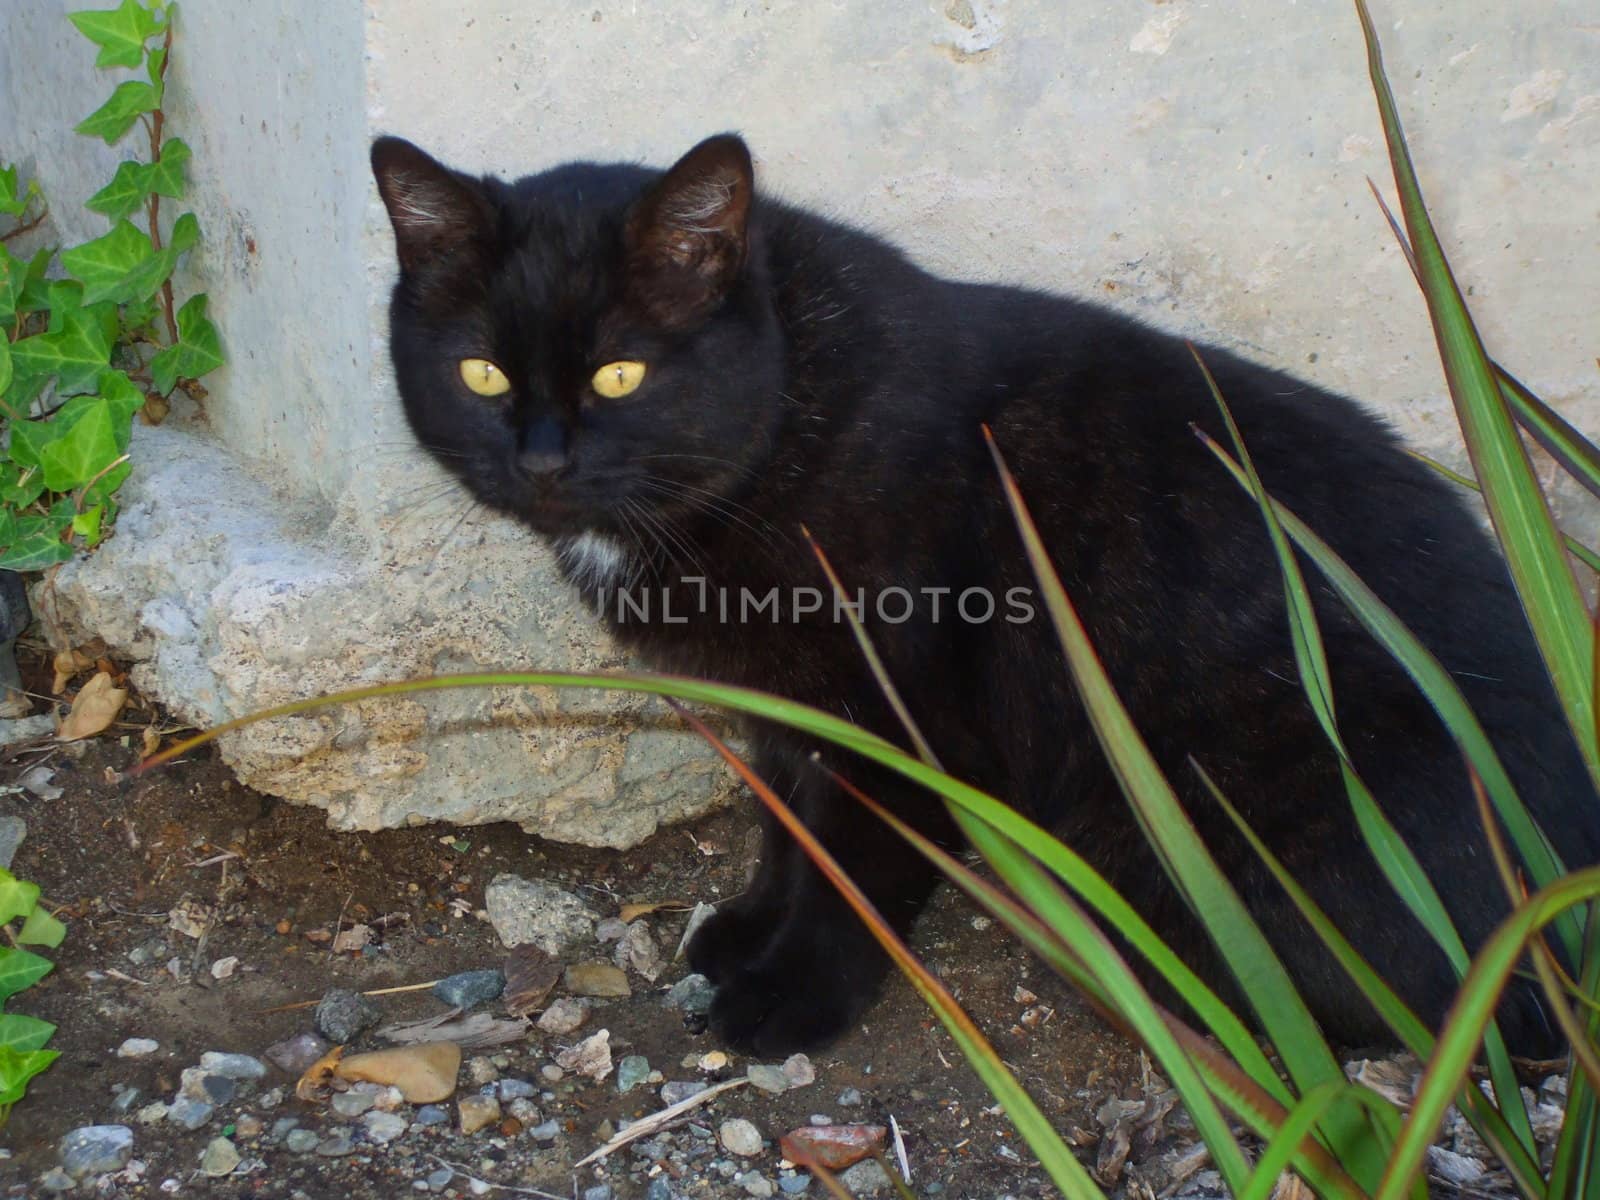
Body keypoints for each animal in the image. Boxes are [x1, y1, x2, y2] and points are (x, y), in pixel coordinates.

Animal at [371, 129, 1587, 1049]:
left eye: (620, 373)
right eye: (481, 371)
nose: (540, 461)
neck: (780, 424)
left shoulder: (899, 718)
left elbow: (852, 865)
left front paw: (791, 996)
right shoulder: (788, 706)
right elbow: (786, 828)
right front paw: (749, 927)